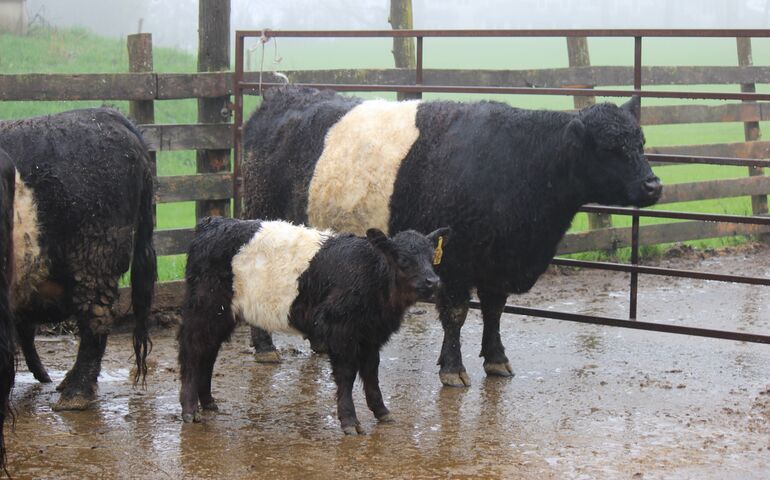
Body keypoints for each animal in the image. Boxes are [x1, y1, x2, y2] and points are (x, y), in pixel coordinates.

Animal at [176, 216, 448, 434]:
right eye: (403, 259)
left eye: (430, 258)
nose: (433, 282)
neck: (371, 275)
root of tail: (214, 223)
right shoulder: (341, 331)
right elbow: (347, 376)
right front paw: (349, 421)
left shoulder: (371, 336)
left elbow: (372, 374)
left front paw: (382, 411)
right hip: (204, 309)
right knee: (193, 351)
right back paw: (190, 409)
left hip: (222, 316)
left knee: (208, 353)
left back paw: (208, 401)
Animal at [242, 85, 660, 386]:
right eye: (609, 148)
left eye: (640, 144)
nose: (654, 185)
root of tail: (283, 95)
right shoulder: (454, 261)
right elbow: (456, 315)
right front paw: (453, 369)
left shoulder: (497, 262)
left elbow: (493, 311)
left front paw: (496, 360)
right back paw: (264, 347)